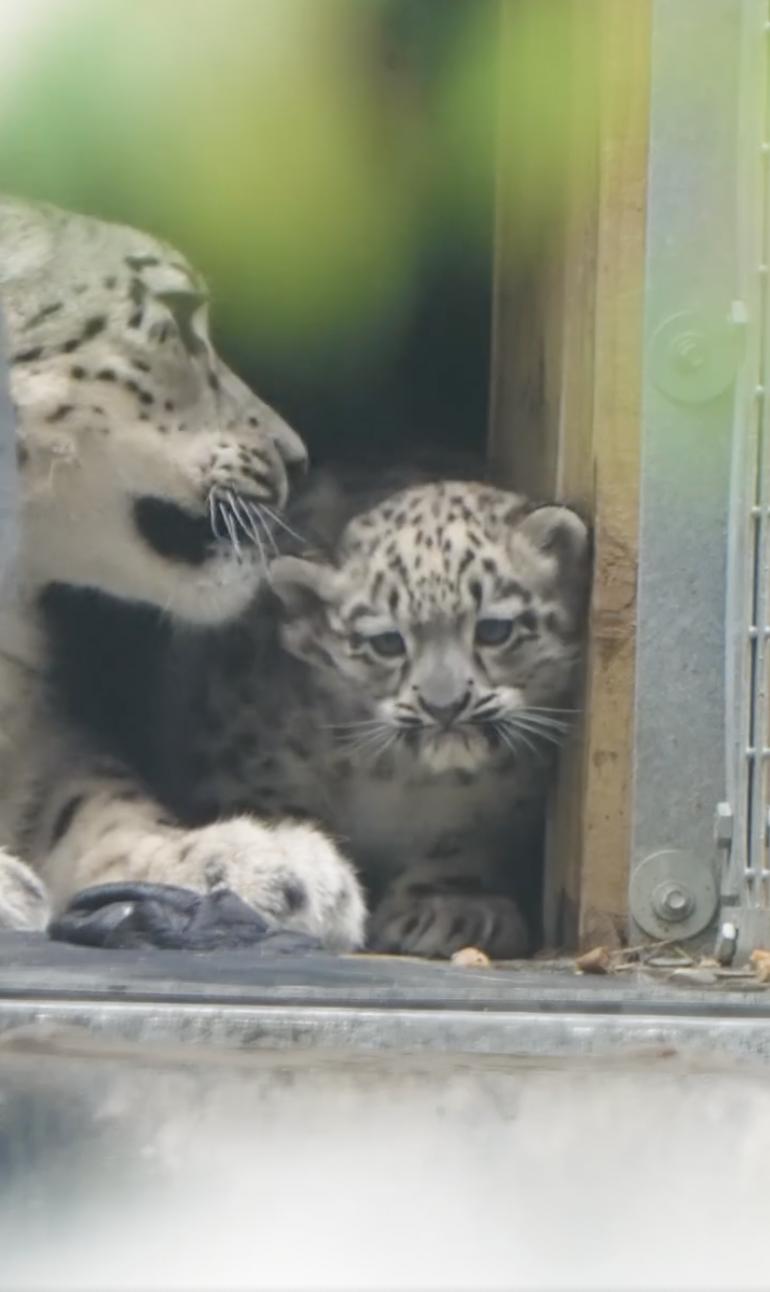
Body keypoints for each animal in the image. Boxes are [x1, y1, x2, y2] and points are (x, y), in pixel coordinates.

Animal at [150, 475, 591, 958]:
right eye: (387, 642)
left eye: (494, 630)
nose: (444, 705)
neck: (402, 782)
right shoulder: (250, 759)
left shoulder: (500, 806)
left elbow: (466, 848)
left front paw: (447, 910)